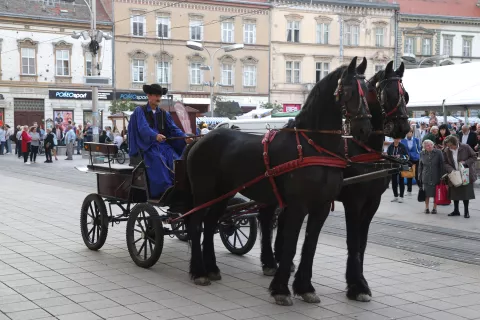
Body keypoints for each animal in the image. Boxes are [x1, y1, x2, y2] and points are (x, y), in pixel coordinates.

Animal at [183, 57, 372, 304]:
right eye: (349, 90)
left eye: (368, 90)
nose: (365, 129)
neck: (313, 146)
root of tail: (199, 139)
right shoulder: (297, 206)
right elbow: (290, 244)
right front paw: (281, 289)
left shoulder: (320, 207)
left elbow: (310, 245)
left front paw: (305, 287)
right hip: (204, 192)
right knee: (196, 224)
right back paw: (199, 271)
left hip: (223, 194)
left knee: (210, 223)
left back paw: (212, 268)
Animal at [264, 60, 410, 302]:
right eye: (387, 94)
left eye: (405, 95)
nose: (403, 128)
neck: (363, 149)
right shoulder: (354, 202)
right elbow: (353, 241)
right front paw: (356, 285)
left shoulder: (373, 203)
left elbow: (362, 243)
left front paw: (359, 281)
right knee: (266, 220)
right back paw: (268, 261)